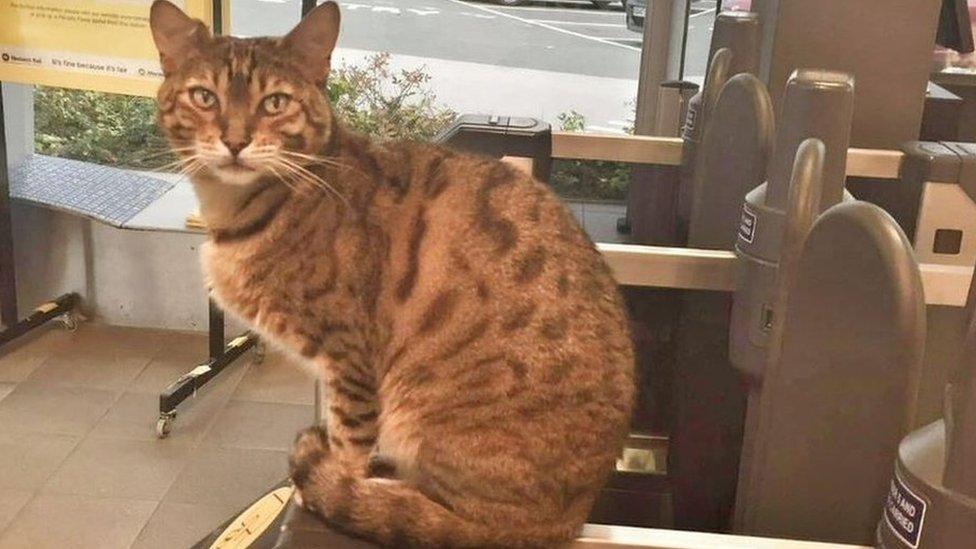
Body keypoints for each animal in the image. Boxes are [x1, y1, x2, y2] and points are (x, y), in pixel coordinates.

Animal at [147, 2, 632, 544]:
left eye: (274, 102)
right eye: (203, 97)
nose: (235, 141)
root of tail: (565, 523)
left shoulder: (349, 357)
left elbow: (347, 442)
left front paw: (327, 482)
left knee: (443, 516)